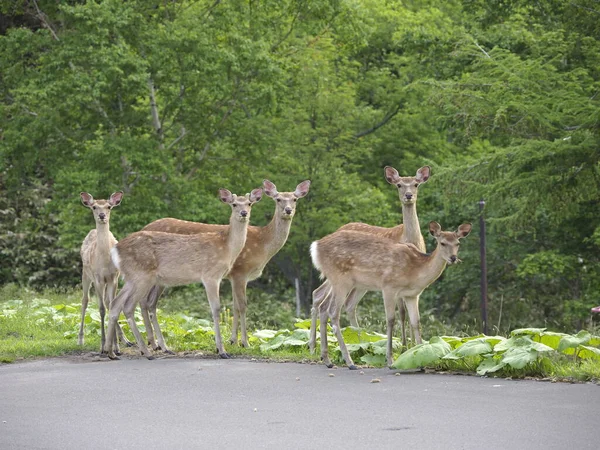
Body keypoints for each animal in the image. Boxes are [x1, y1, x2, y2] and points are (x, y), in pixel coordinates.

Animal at [78, 190, 131, 352]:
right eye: (94, 207)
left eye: (109, 206)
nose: (102, 215)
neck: (105, 262)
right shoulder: (98, 278)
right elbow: (101, 309)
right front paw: (103, 345)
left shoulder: (114, 277)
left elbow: (112, 305)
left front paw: (116, 347)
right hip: (85, 273)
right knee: (85, 301)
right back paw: (80, 339)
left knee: (108, 302)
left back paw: (125, 340)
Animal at [103, 188, 262, 360]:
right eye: (234, 204)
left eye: (249, 203)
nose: (244, 213)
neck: (227, 248)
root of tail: (115, 249)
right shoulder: (210, 275)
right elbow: (216, 309)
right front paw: (221, 350)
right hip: (142, 276)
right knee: (128, 306)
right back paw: (146, 352)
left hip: (131, 278)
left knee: (115, 304)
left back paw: (111, 352)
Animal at [140, 179, 310, 352]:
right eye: (278, 199)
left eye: (295, 199)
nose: (288, 210)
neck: (263, 245)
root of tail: (143, 227)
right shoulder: (240, 271)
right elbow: (242, 306)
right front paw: (245, 342)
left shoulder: (235, 276)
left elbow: (234, 306)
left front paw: (233, 340)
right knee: (146, 301)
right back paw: (154, 343)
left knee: (145, 301)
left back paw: (153, 343)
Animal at [310, 165, 432, 352]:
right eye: (399, 185)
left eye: (416, 184)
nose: (408, 195)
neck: (410, 239)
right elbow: (402, 312)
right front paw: (405, 346)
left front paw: (413, 345)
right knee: (323, 296)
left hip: (358, 283)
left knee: (344, 302)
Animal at [312, 221, 472, 370]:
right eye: (442, 243)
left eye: (458, 243)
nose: (453, 258)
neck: (415, 271)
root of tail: (315, 246)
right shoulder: (389, 287)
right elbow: (390, 320)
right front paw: (390, 360)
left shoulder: (411, 295)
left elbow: (416, 322)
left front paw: (420, 357)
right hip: (341, 280)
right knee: (333, 311)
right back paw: (349, 362)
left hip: (340, 282)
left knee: (324, 305)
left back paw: (327, 360)